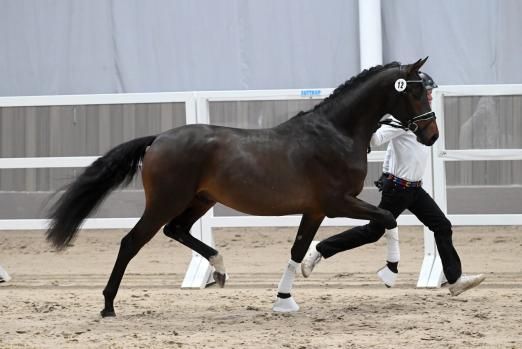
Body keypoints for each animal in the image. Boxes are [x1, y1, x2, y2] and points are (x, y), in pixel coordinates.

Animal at [44, 57, 436, 316]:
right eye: (417, 94)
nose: (431, 135)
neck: (335, 133)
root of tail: (158, 139)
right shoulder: (338, 203)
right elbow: (387, 218)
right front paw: (389, 273)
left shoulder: (315, 210)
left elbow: (299, 250)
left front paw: (284, 300)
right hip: (165, 202)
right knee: (132, 242)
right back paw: (108, 305)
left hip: (199, 200)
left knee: (177, 230)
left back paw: (218, 269)